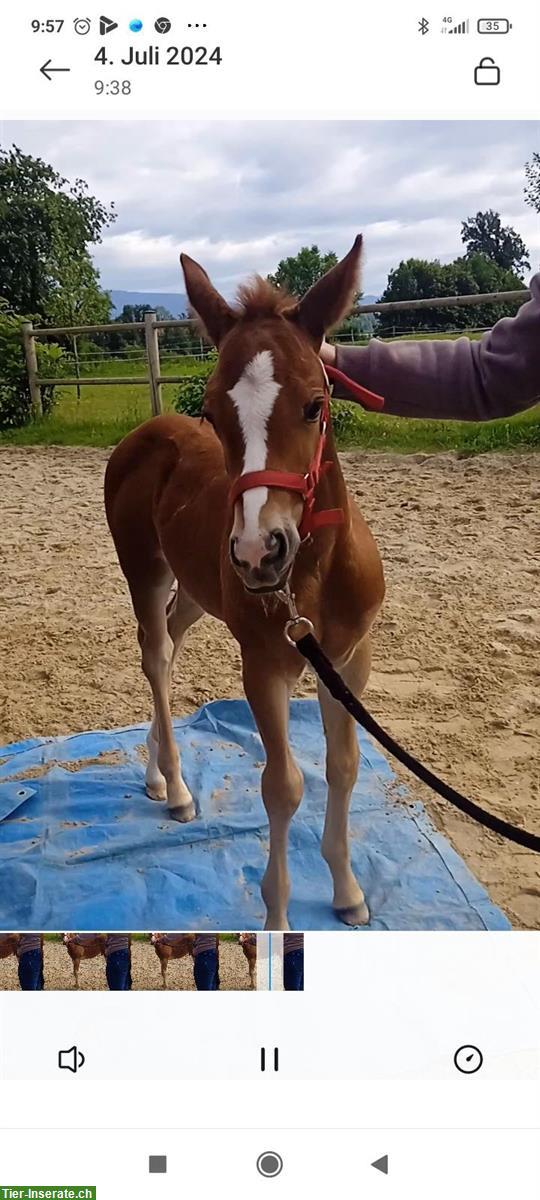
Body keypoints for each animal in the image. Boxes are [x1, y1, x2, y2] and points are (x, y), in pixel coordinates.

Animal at [104, 234, 384, 926]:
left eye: (316, 404)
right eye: (210, 410)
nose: (261, 550)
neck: (314, 576)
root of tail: (145, 432)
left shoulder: (350, 658)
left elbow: (344, 766)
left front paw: (347, 891)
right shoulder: (262, 665)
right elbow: (282, 786)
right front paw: (278, 919)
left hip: (200, 589)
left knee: (172, 642)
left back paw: (155, 774)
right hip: (144, 569)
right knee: (155, 656)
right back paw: (176, 786)